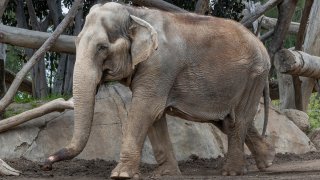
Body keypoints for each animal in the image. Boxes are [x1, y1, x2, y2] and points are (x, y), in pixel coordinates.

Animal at [42, 2, 276, 179]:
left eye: (102, 47)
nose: (47, 163)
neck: (134, 14)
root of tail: (261, 43)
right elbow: (155, 116)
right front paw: (166, 174)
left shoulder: (160, 64)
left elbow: (146, 108)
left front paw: (120, 175)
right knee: (227, 121)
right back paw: (267, 161)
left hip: (254, 76)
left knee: (238, 120)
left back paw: (232, 172)